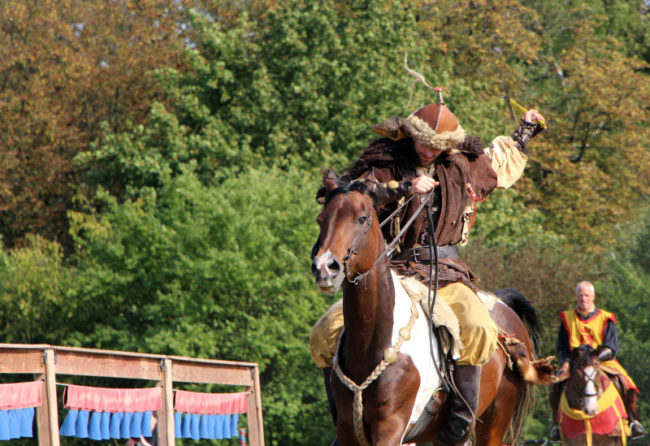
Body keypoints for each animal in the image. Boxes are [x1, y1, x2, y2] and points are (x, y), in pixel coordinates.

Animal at [312, 172, 556, 446]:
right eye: (321, 220)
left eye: (361, 218)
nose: (325, 268)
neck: (373, 342)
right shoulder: (347, 429)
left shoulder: (391, 426)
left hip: (494, 422)